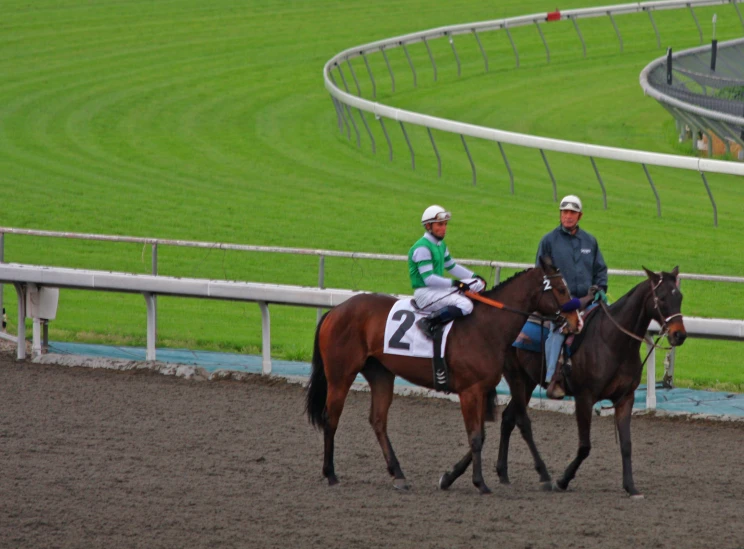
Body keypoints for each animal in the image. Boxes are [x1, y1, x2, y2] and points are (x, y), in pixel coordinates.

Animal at [306, 256, 580, 492]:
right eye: (561, 289)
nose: (576, 322)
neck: (486, 327)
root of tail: (335, 310)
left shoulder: (481, 390)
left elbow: (481, 435)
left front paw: (450, 477)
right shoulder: (469, 391)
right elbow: (476, 437)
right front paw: (480, 482)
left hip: (381, 373)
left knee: (378, 421)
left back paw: (398, 474)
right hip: (341, 375)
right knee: (331, 418)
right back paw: (330, 473)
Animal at [496, 266, 688, 496]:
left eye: (680, 296)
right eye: (661, 297)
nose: (679, 335)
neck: (612, 342)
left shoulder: (625, 398)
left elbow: (626, 444)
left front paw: (631, 487)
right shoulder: (584, 398)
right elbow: (585, 446)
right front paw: (562, 480)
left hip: (528, 381)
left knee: (508, 418)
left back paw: (502, 473)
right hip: (516, 376)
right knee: (517, 420)